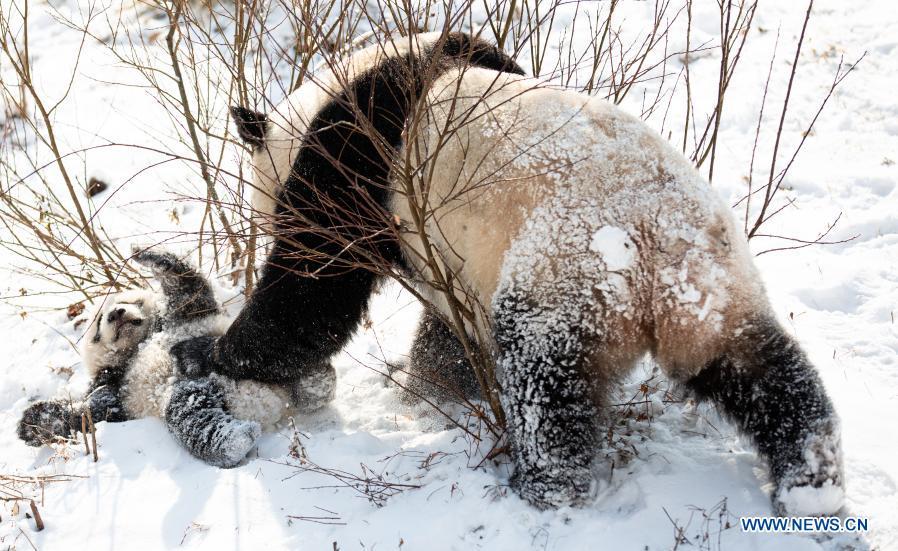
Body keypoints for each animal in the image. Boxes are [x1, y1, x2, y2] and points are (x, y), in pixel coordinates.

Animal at [173, 32, 840, 516]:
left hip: (565, 266)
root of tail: (656, 242)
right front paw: (435, 381)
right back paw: (811, 477)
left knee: (545, 378)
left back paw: (541, 485)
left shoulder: (354, 158)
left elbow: (313, 286)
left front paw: (213, 353)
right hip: (712, 284)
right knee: (758, 368)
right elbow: (447, 327)